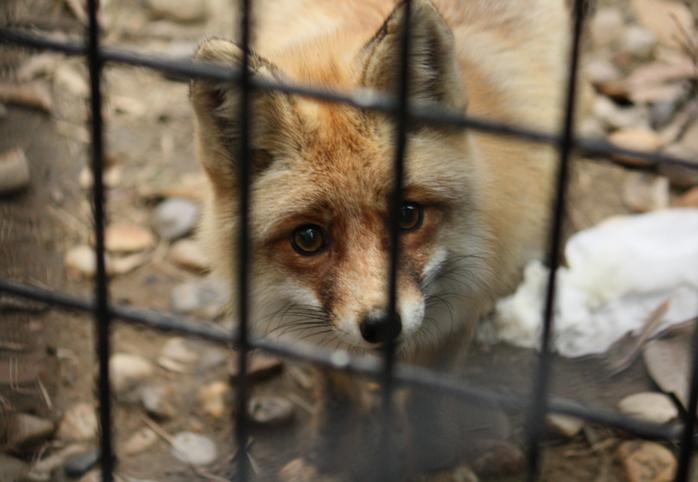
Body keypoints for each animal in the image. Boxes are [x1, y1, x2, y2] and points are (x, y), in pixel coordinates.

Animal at [190, 0, 569, 479]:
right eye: (308, 238)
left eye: (408, 215)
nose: (382, 324)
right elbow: (338, 392)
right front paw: (331, 453)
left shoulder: (459, 307)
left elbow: (426, 397)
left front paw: (433, 457)